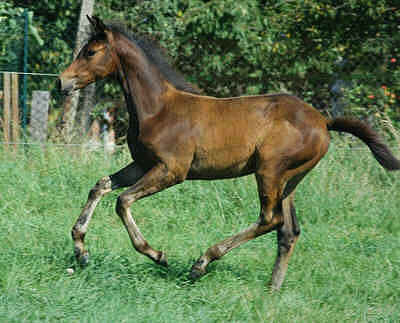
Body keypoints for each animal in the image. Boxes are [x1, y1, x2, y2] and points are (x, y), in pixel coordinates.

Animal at [57, 16, 400, 292]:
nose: (62, 81)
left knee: (271, 219)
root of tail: (324, 122)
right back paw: (271, 289)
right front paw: (81, 250)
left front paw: (157, 255)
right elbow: (100, 186)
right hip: (289, 180)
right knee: (289, 231)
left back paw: (202, 262)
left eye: (90, 52)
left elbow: (123, 200)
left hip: (269, 171)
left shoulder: (172, 170)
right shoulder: (142, 164)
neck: (158, 109)